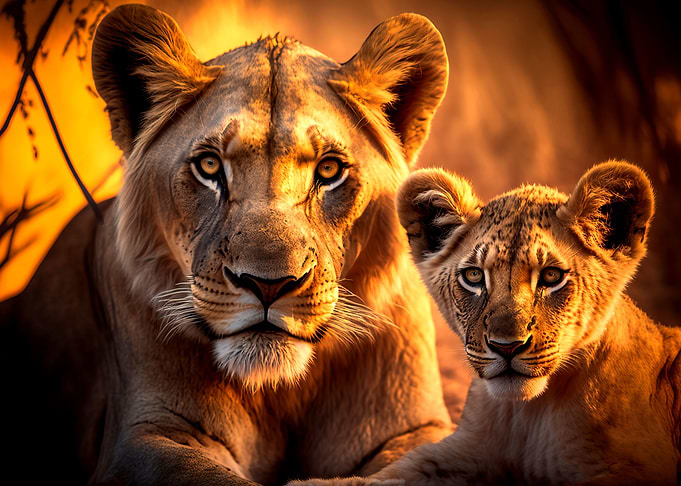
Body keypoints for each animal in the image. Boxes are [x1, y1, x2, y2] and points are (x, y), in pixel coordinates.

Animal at [0, 5, 455, 484]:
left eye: (329, 170)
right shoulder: (149, 433)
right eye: (209, 166)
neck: (279, 396)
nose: (269, 285)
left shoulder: (414, 429)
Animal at [292, 161, 681, 485]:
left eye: (551, 276)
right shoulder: (461, 450)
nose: (506, 347)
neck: (529, 414)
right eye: (474, 276)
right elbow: (386, 475)